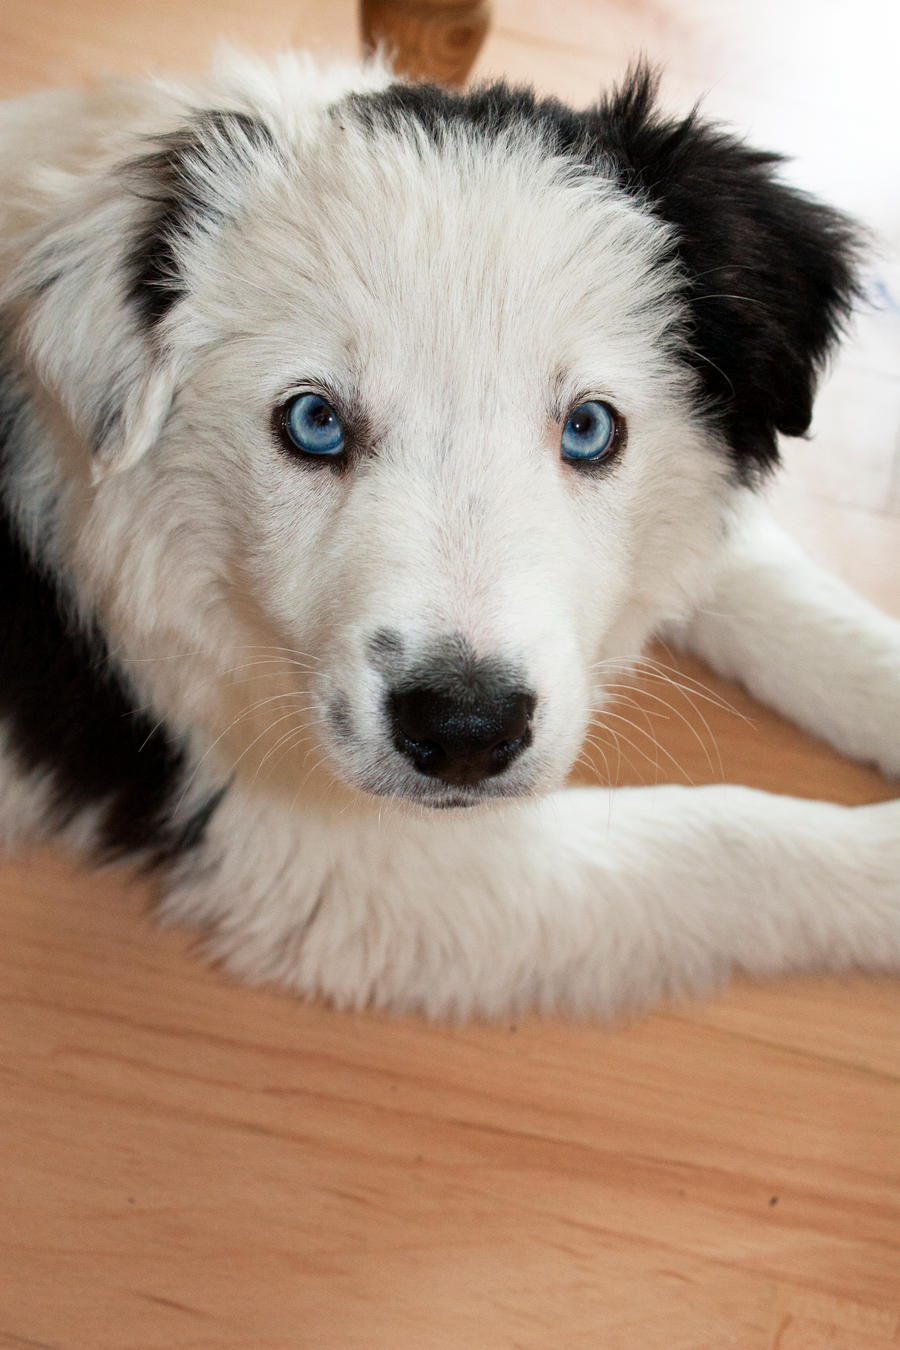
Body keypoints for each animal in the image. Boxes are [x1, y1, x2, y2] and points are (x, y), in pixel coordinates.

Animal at [1, 52, 900, 1015]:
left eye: (590, 429)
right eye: (314, 422)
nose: (467, 731)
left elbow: (778, 593)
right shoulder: (359, 858)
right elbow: (723, 839)